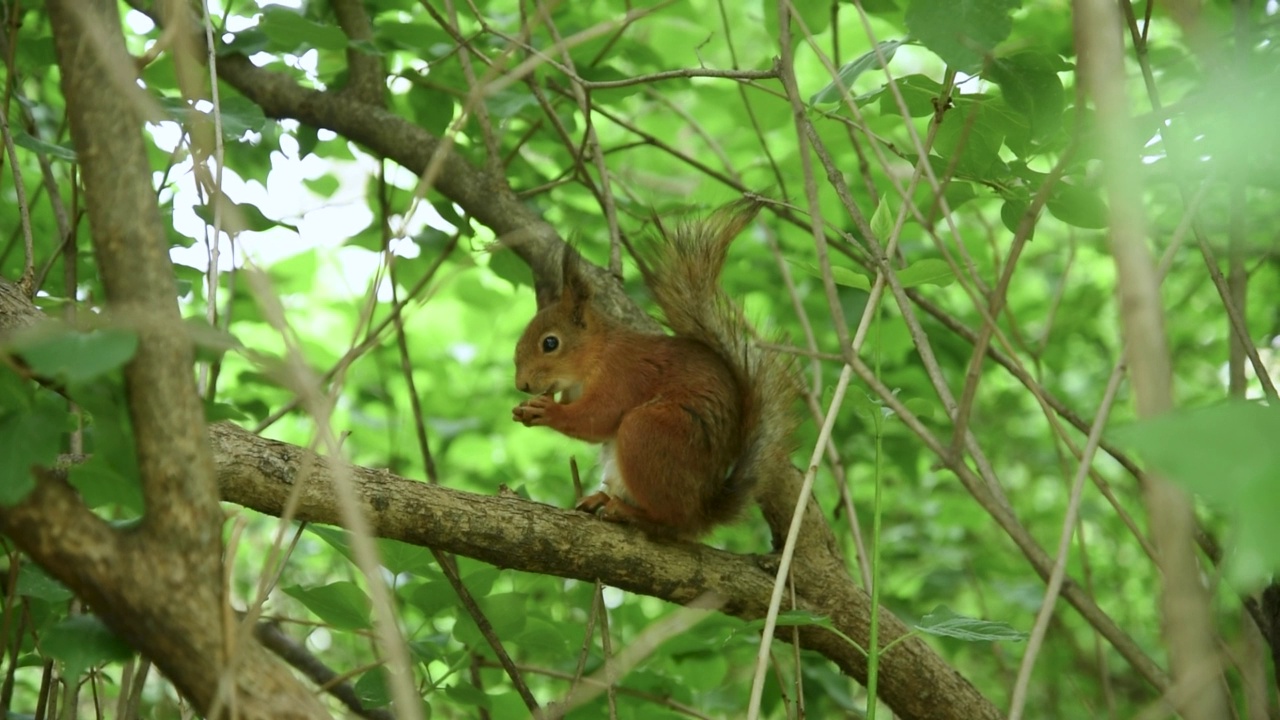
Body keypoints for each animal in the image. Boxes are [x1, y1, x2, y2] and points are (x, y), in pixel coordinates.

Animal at [506, 198, 788, 535]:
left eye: (550, 343)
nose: (521, 384)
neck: (596, 354)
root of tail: (702, 511)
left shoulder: (624, 374)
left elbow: (597, 418)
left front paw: (549, 411)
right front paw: (529, 406)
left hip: (649, 432)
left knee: (670, 518)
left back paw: (628, 512)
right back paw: (600, 498)